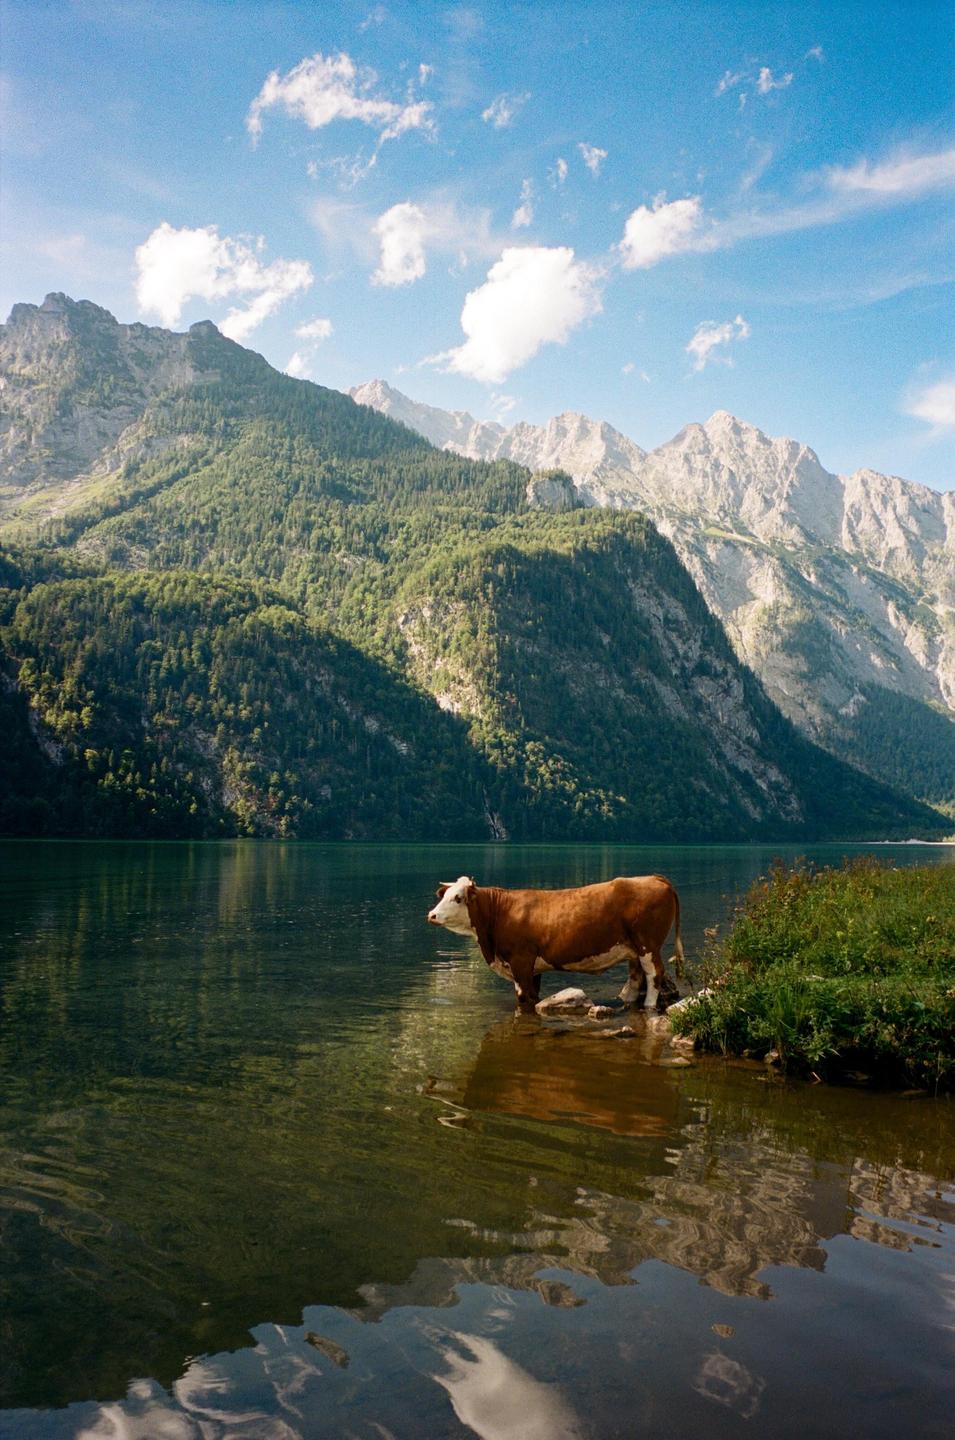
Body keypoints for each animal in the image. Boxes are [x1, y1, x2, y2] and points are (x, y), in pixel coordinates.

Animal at [427, 874, 684, 1014]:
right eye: (444, 895)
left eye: (457, 898)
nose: (432, 915)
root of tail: (654, 877)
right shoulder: (532, 967)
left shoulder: (521, 961)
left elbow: (525, 997)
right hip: (634, 949)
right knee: (636, 978)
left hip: (648, 945)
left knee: (654, 975)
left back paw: (649, 1006)